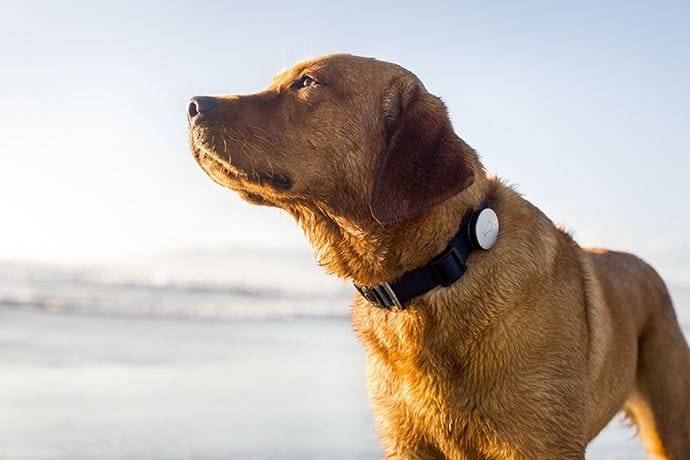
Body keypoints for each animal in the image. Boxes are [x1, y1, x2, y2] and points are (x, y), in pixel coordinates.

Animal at [187, 54, 688, 460]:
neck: (436, 268)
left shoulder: (537, 441)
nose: (193, 104)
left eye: (306, 82)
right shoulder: (405, 441)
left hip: (672, 422)